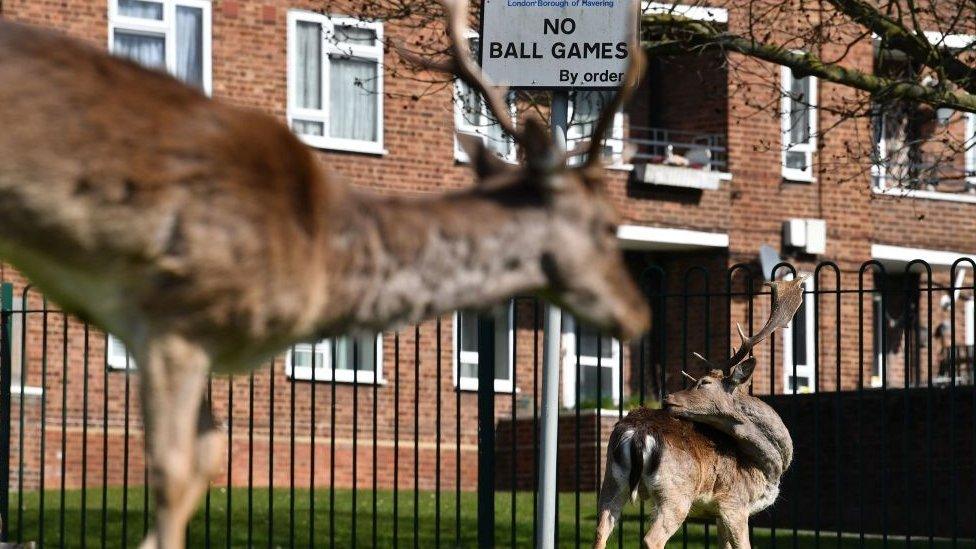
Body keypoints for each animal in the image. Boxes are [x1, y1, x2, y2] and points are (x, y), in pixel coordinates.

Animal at [0, 0, 648, 544]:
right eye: (606, 226)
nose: (638, 315)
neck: (321, 262)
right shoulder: (174, 317)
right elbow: (172, 472)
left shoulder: (206, 342)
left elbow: (207, 461)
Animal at [592, 278, 804, 548]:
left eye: (703, 382)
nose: (667, 398)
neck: (767, 465)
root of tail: (637, 434)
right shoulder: (734, 503)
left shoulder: (719, 513)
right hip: (675, 491)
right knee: (652, 538)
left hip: (610, 479)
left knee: (601, 531)